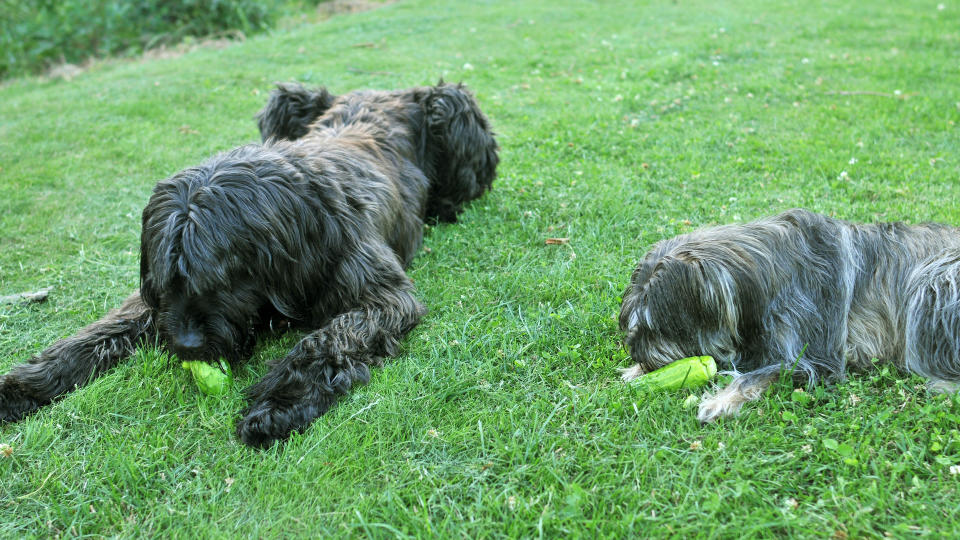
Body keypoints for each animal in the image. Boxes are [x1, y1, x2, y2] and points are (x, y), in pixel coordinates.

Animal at [0, 81, 498, 448]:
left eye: (222, 279)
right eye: (167, 282)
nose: (186, 346)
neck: (297, 221)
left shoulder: (382, 294)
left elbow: (328, 339)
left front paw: (279, 403)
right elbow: (97, 333)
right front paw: (25, 387)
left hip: (450, 104)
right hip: (286, 99)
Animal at [620, 208, 960, 422]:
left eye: (655, 326)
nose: (637, 353)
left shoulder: (819, 357)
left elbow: (764, 372)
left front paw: (720, 401)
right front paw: (636, 372)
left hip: (934, 281)